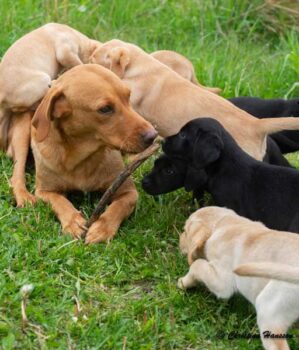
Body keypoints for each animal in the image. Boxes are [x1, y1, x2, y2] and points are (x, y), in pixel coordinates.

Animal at [31, 63, 157, 243]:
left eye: (128, 97)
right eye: (105, 109)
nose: (152, 135)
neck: (80, 159)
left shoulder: (129, 193)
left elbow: (118, 206)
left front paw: (102, 228)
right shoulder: (43, 191)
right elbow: (60, 201)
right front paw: (73, 221)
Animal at [178, 206, 299, 350]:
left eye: (185, 231)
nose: (179, 240)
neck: (221, 223)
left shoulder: (223, 281)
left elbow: (197, 265)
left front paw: (183, 282)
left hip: (269, 308)